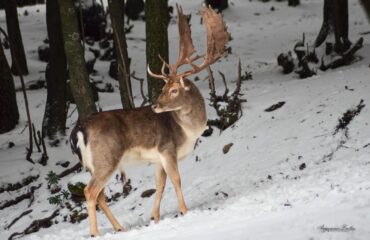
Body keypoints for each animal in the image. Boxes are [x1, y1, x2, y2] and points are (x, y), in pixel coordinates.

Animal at [69, 5, 228, 236]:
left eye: (173, 89)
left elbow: (160, 184)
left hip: (94, 164)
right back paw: (95, 233)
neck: (188, 132)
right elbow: (176, 180)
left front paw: (155, 217)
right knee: (89, 191)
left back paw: (119, 227)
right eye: (164, 88)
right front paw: (185, 210)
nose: (155, 105)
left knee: (99, 195)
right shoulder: (167, 148)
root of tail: (78, 131)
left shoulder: (157, 159)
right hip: (106, 158)